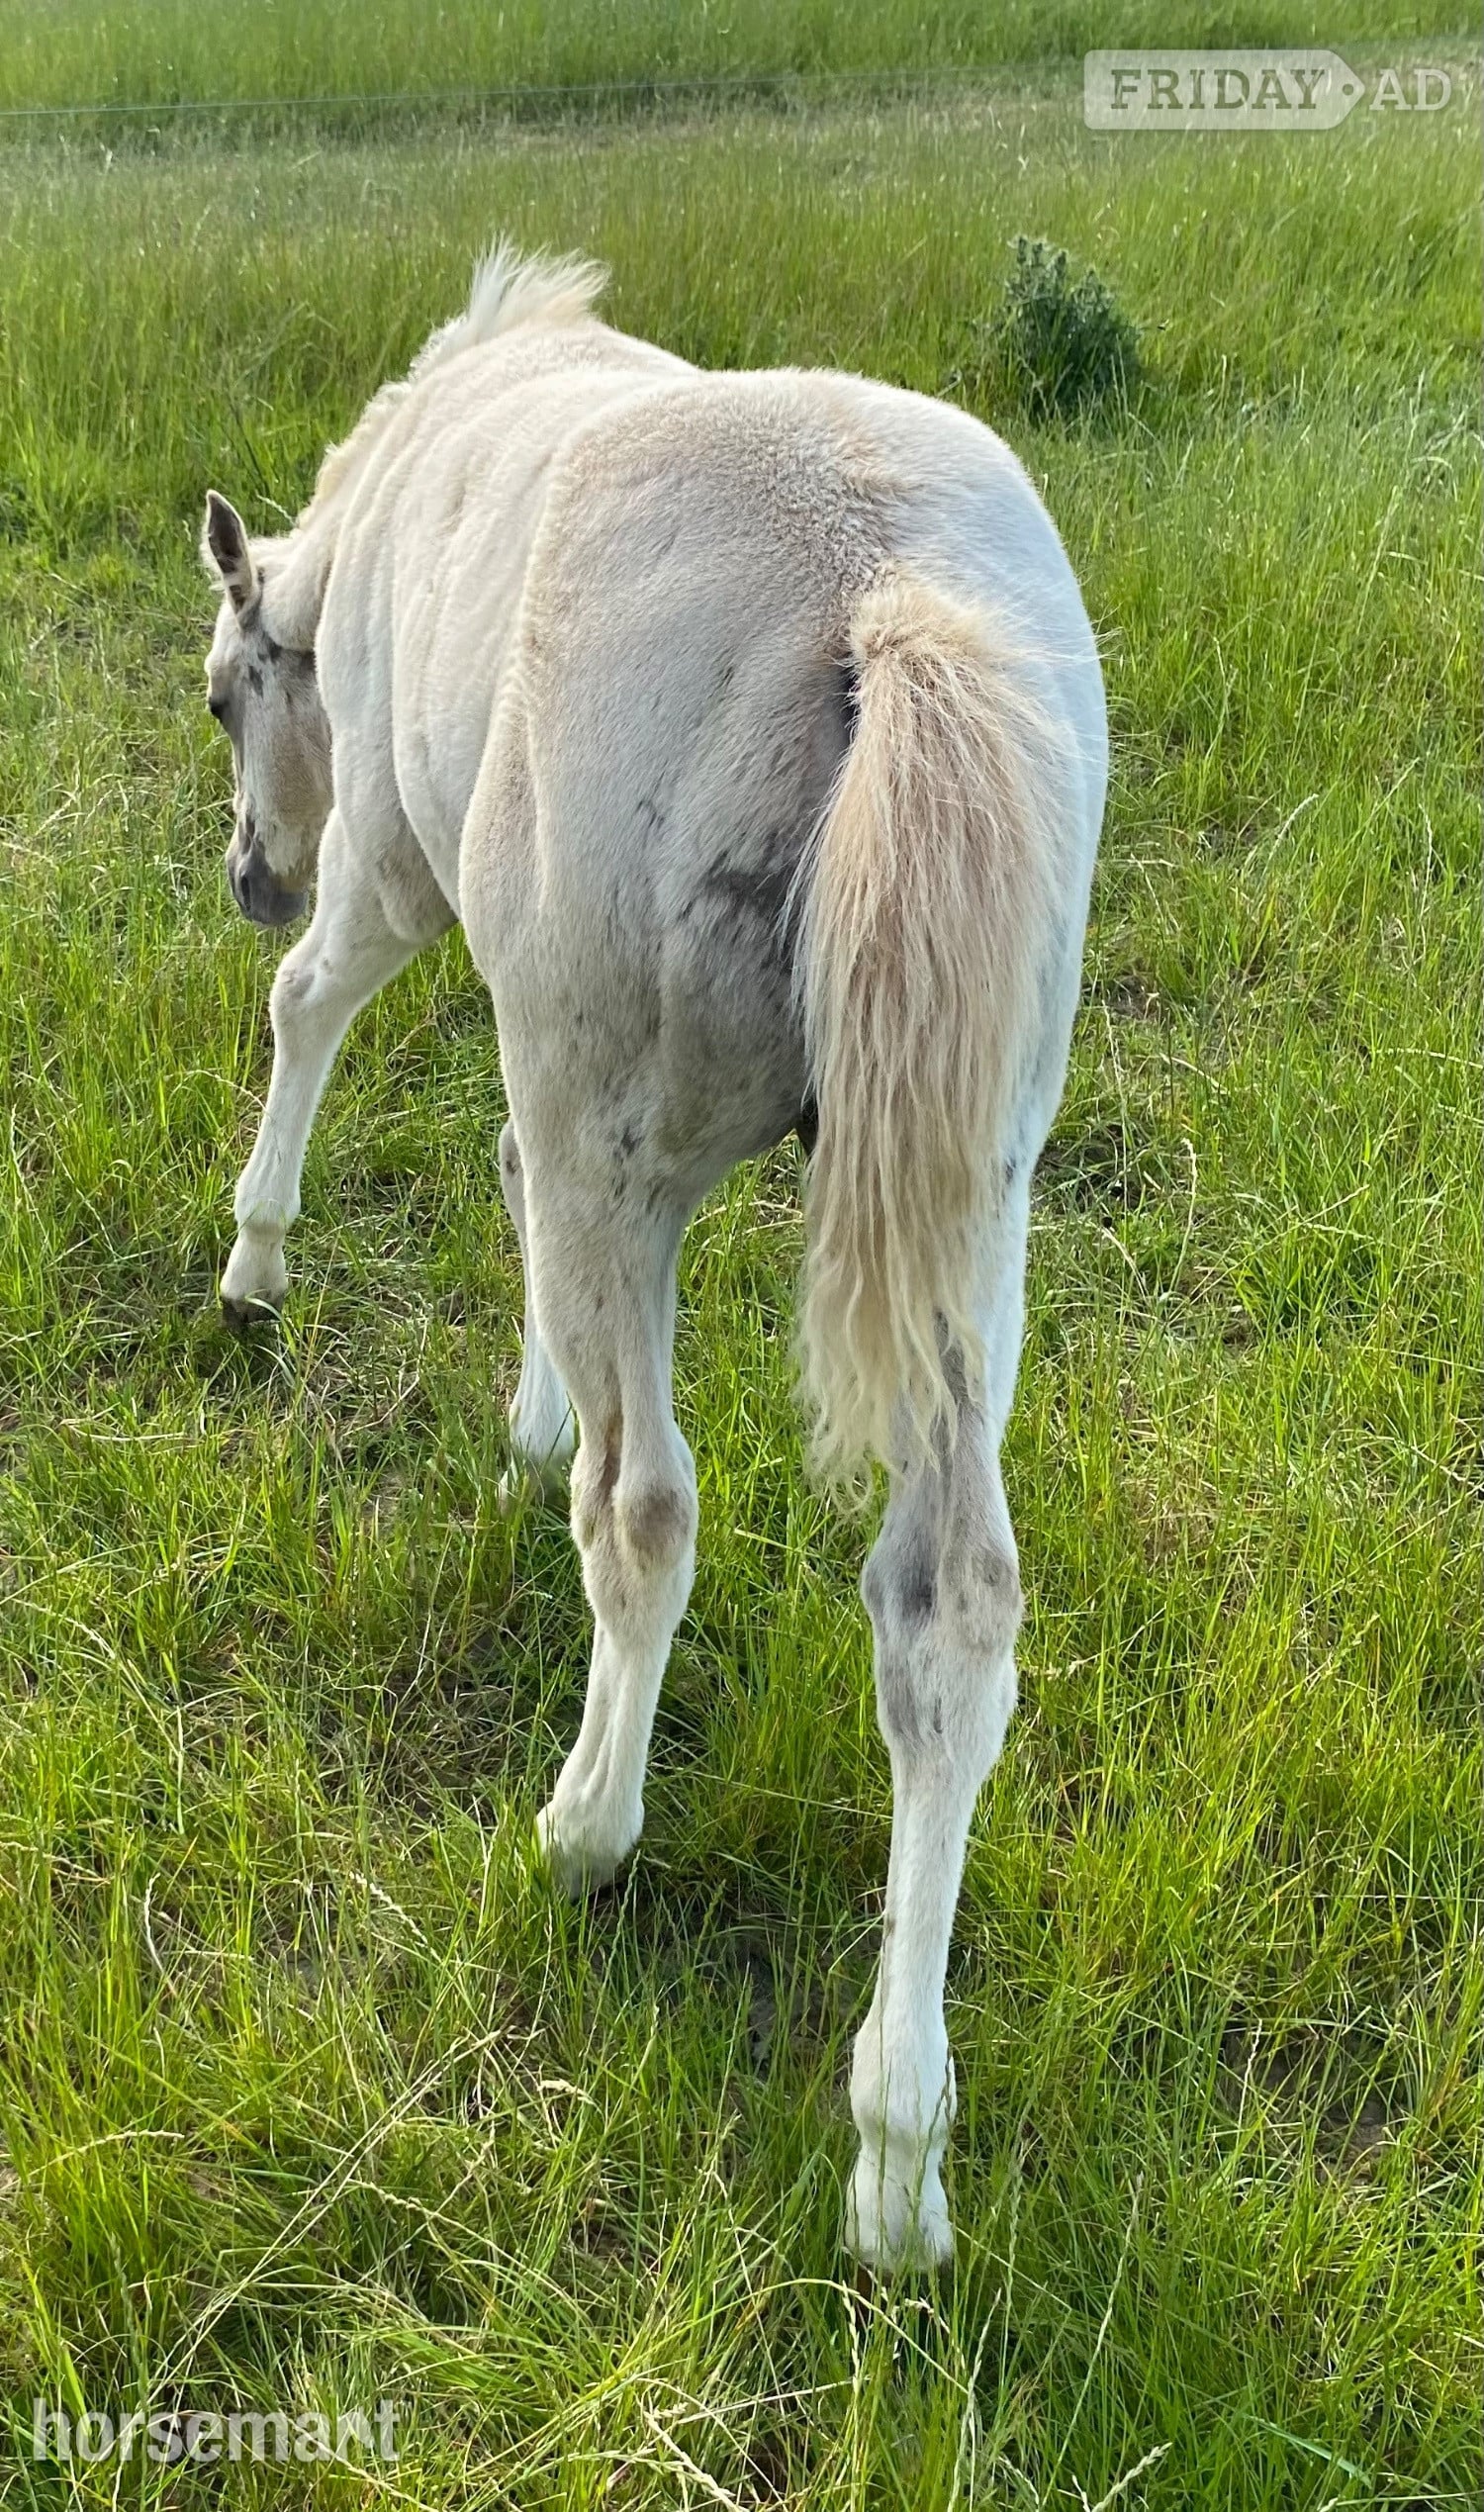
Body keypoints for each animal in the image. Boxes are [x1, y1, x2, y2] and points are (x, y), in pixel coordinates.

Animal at [201, 243, 1107, 2272]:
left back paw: (586, 1828)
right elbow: (511, 1193)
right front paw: (524, 1400)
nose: (247, 871)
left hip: (629, 1101)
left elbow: (314, 1012)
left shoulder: (404, 877)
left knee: (645, 1505)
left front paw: (256, 1261)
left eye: (226, 697)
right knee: (950, 1609)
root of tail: (881, 588)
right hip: (965, 1192)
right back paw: (897, 2164)